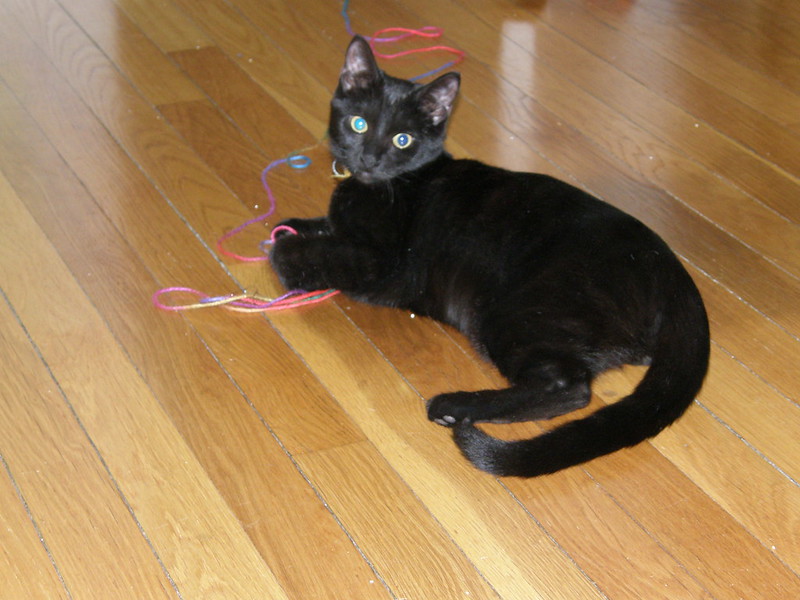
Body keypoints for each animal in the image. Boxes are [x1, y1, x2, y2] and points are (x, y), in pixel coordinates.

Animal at [272, 37, 708, 478]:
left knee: (568, 388)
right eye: (358, 124)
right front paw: (292, 225)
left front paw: (285, 253)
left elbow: (309, 253)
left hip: (518, 310)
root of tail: (669, 267)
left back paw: (456, 407)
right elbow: (321, 226)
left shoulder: (385, 266)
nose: (369, 160)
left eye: (402, 140)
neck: (379, 186)